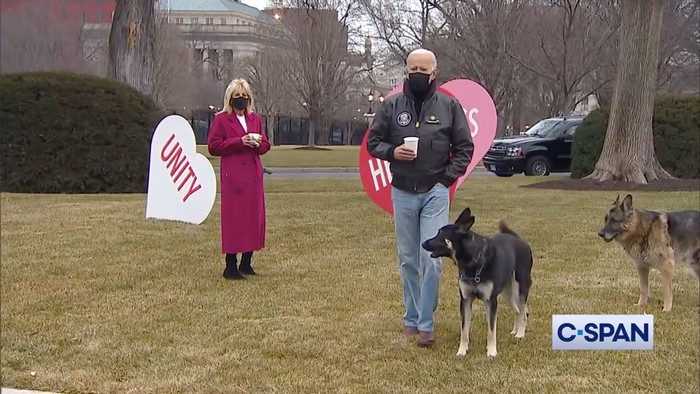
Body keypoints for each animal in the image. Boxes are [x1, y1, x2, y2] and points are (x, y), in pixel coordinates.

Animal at [424, 208, 532, 358]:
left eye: (440, 233)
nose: (423, 243)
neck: (473, 262)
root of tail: (520, 240)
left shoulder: (491, 301)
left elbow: (491, 331)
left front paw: (492, 352)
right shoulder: (465, 300)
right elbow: (464, 331)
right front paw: (462, 351)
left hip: (519, 289)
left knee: (523, 313)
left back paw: (520, 334)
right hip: (507, 292)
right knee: (517, 311)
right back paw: (515, 331)